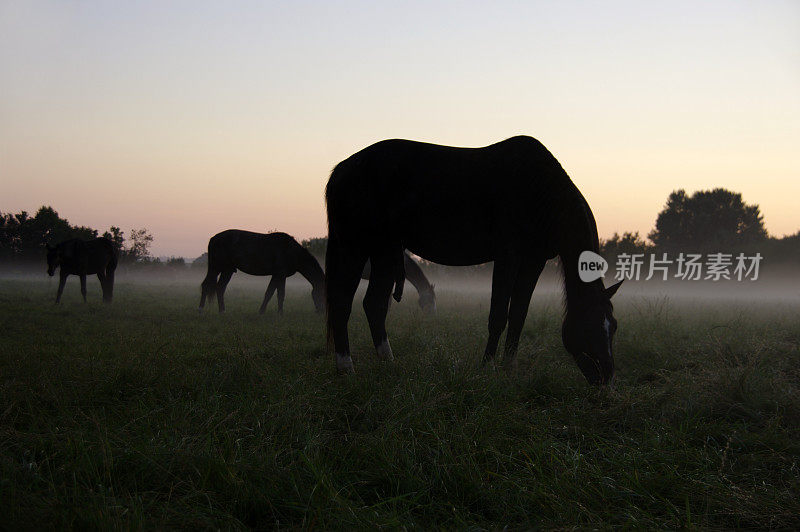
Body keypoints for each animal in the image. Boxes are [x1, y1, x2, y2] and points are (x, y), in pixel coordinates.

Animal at [326, 135, 624, 384]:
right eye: (590, 324)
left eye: (614, 326)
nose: (607, 379)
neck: (538, 190)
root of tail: (342, 170)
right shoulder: (508, 256)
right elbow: (498, 315)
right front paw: (487, 366)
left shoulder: (534, 261)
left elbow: (519, 314)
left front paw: (509, 368)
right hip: (355, 248)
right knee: (341, 303)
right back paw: (346, 367)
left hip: (384, 252)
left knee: (374, 304)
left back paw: (388, 362)